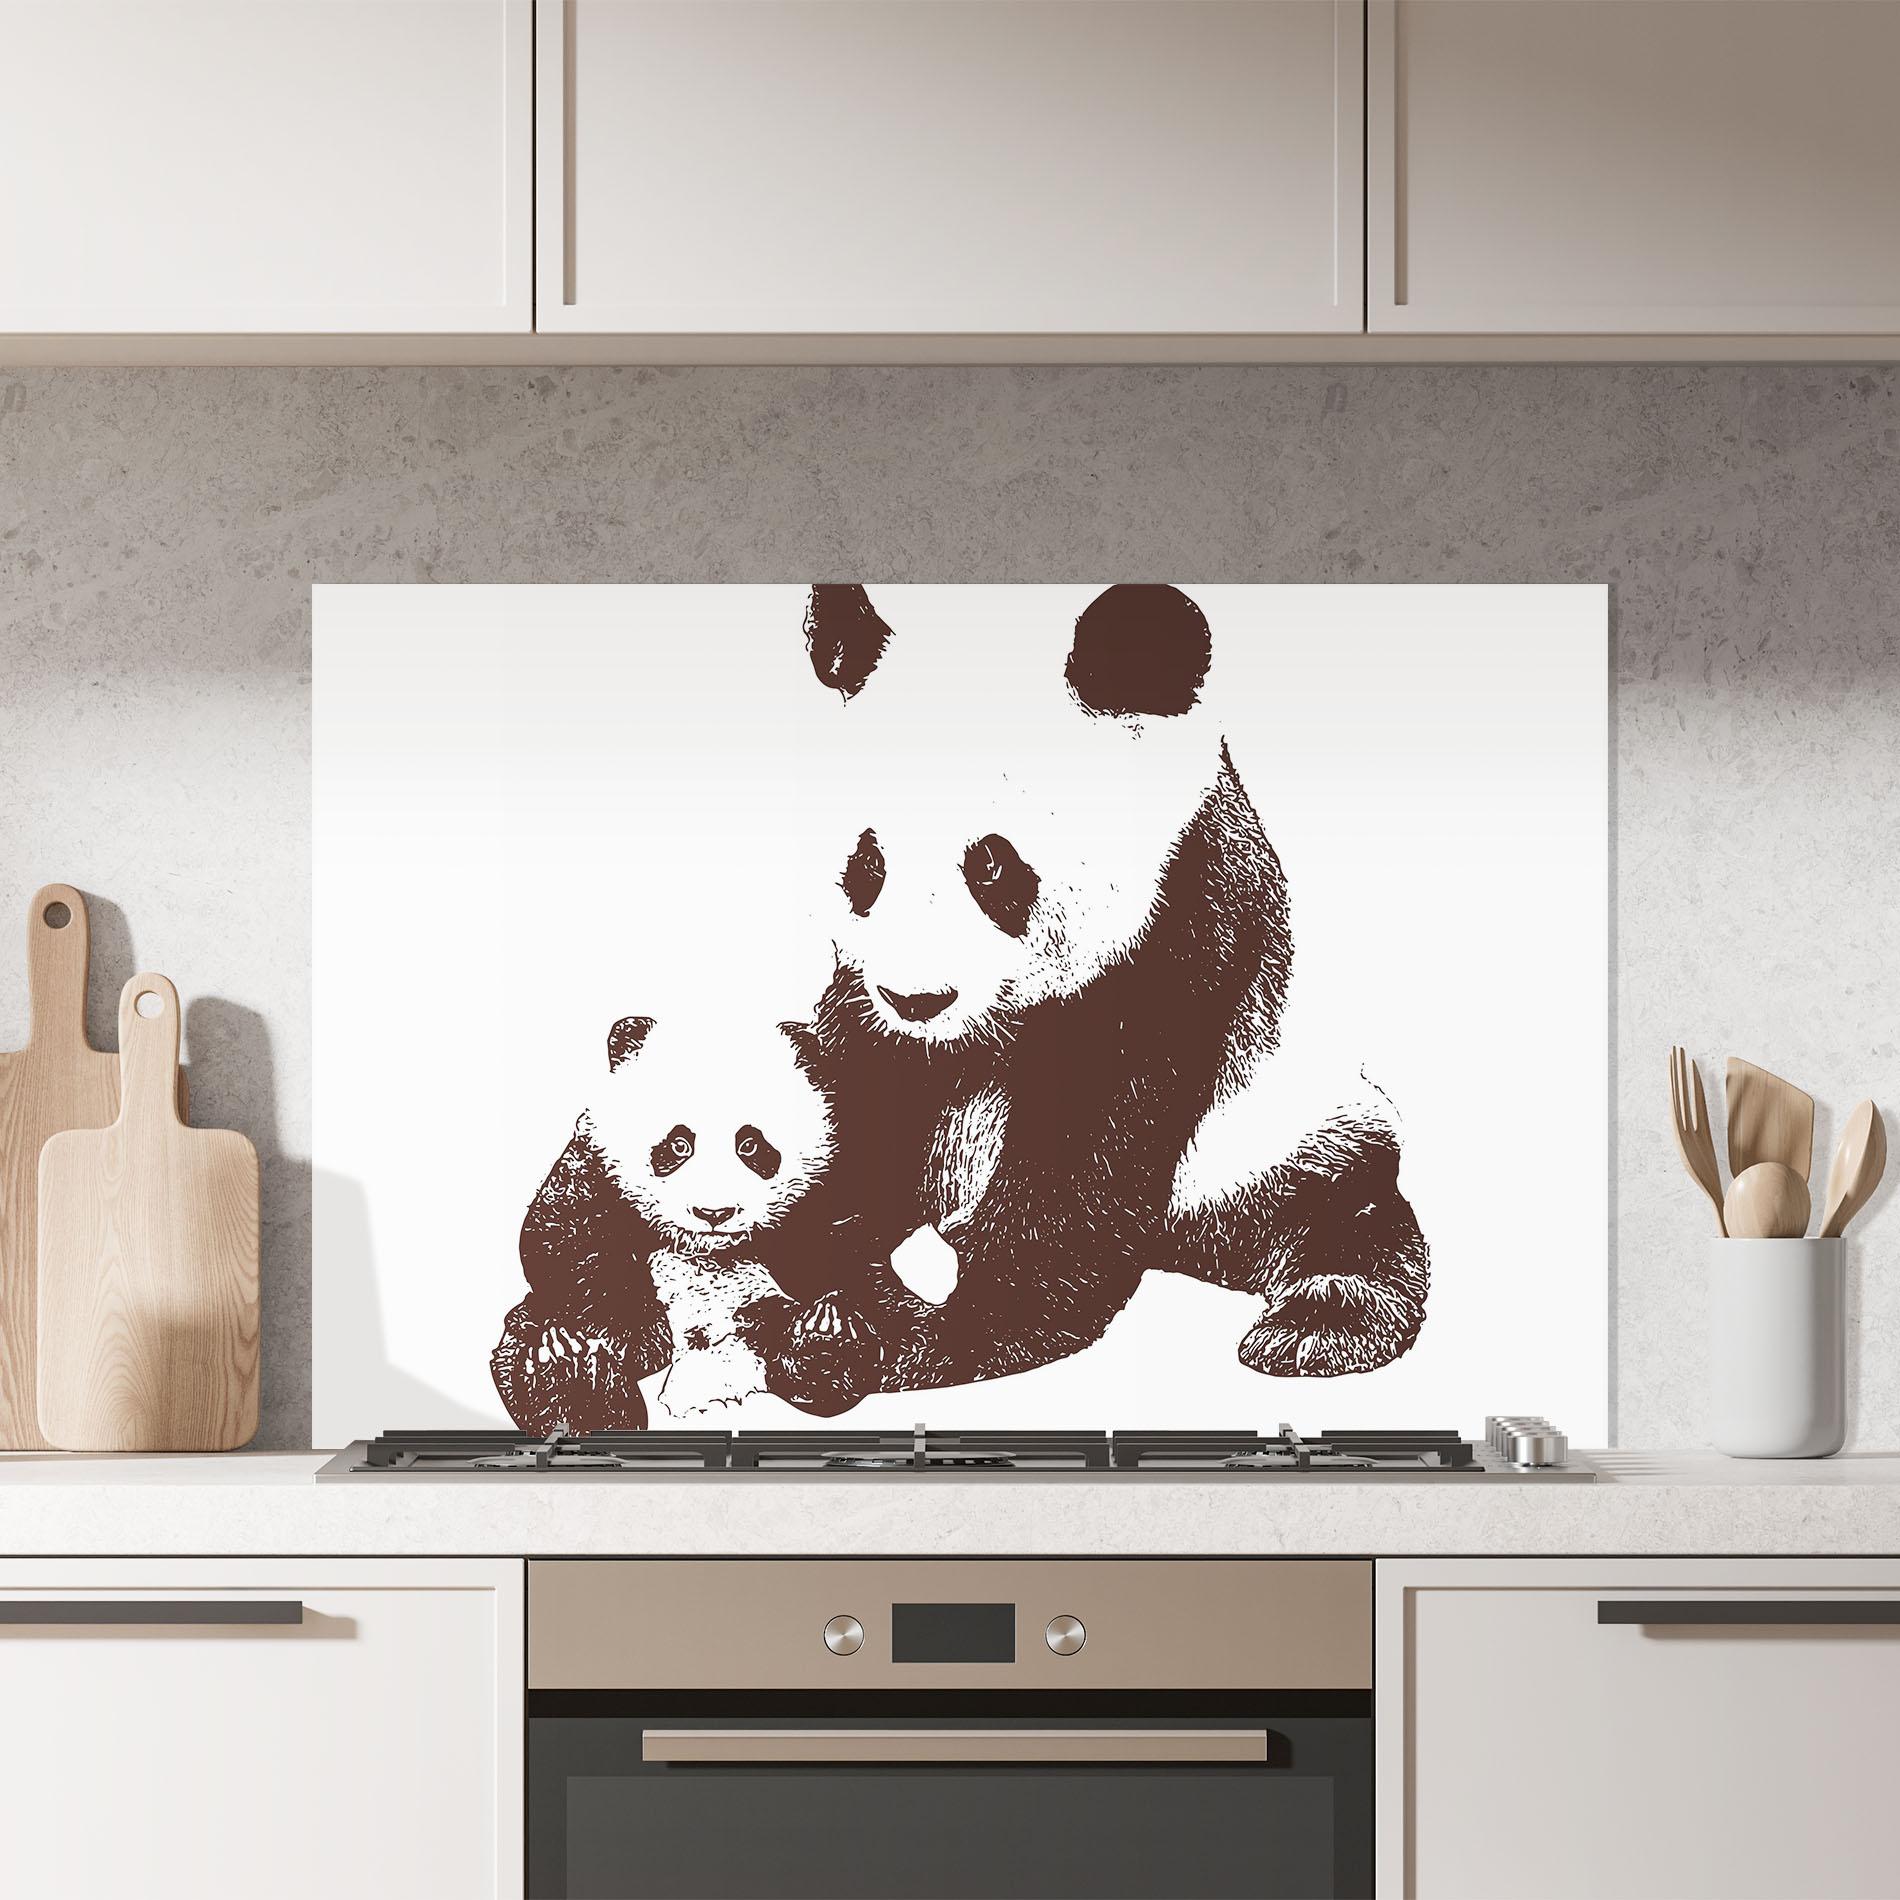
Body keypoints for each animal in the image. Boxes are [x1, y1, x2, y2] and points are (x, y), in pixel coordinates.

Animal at [490, 1013, 839, 1433]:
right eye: (678, 1144)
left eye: (750, 1145)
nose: (713, 1214)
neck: (706, 1251)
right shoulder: (596, 1168)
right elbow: (563, 1239)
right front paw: (644, 1336)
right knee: (527, 1341)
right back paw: (569, 1373)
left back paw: (819, 1340)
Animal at [749, 581, 1431, 1409]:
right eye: (867, 864)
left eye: (992, 865)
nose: (918, 999)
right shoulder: (863, 1002)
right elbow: (862, 1111)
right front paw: (842, 1296)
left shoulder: (1180, 932)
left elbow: (1088, 1150)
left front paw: (940, 1334)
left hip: (1289, 1138)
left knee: (1347, 1224)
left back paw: (1315, 1329)